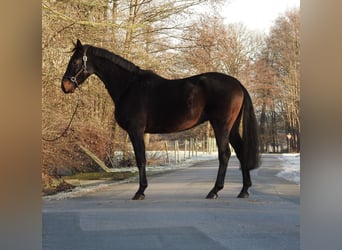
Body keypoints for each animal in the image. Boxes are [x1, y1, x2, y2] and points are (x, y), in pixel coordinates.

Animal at [62, 39, 260, 199]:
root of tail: (237, 83)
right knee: (240, 151)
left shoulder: (136, 130)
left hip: (221, 126)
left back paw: (214, 191)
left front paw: (140, 191)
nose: (65, 85)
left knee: (225, 154)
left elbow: (140, 159)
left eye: (75, 61)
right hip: (232, 127)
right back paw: (243, 190)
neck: (129, 86)